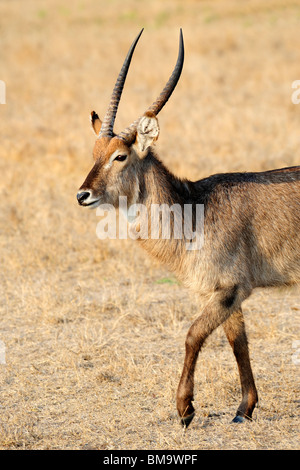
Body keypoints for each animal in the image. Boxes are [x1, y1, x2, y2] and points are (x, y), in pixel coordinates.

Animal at [78, 28, 300, 426]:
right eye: (94, 154)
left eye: (120, 156)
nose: (82, 194)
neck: (194, 206)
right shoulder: (223, 293)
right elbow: (238, 342)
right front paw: (244, 409)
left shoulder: (230, 289)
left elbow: (193, 335)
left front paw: (184, 408)